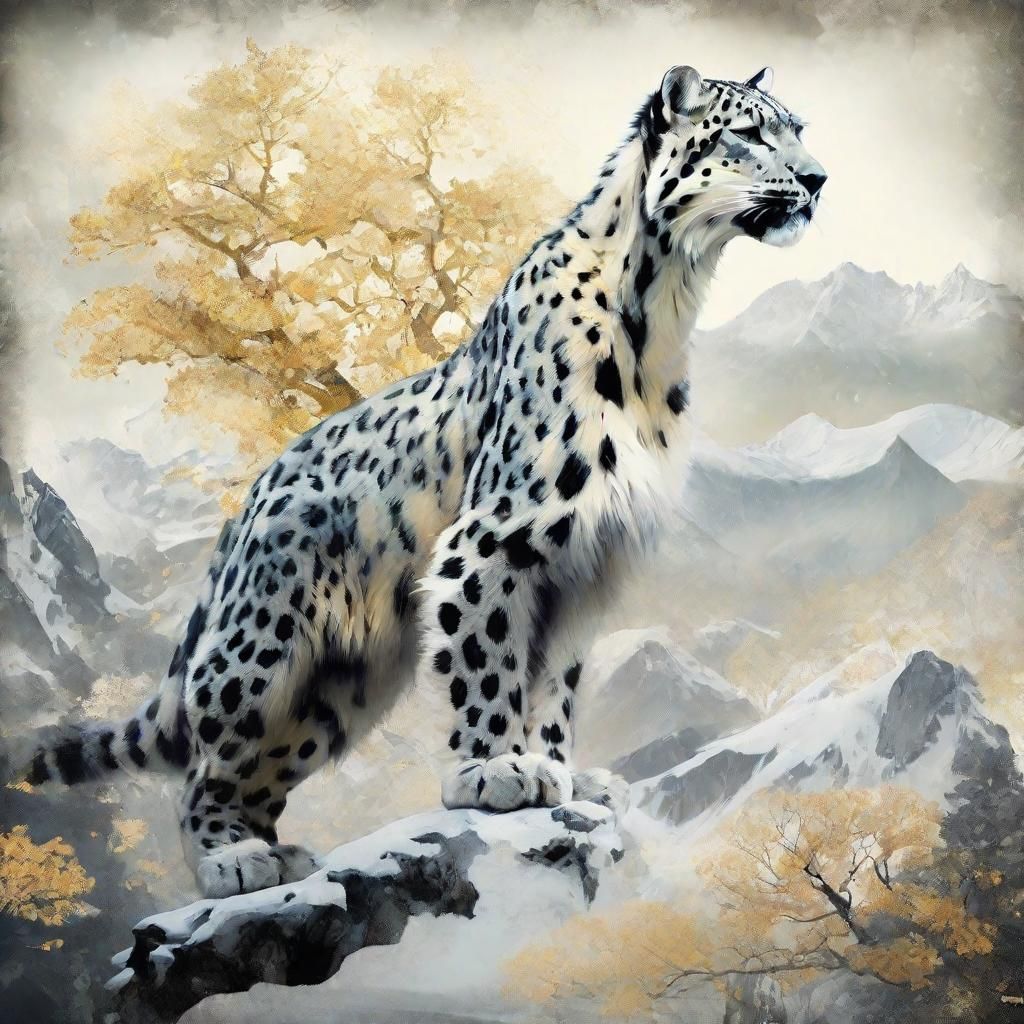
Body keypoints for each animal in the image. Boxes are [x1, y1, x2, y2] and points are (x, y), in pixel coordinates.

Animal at [20, 65, 825, 897]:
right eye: (751, 133)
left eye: (798, 129)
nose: (817, 180)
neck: (662, 312)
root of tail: (242, 516)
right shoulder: (500, 536)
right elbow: (491, 657)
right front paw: (497, 770)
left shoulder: (587, 561)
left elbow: (555, 680)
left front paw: (560, 771)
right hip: (260, 651)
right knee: (207, 766)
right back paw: (233, 861)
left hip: (339, 688)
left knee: (265, 768)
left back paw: (280, 855)